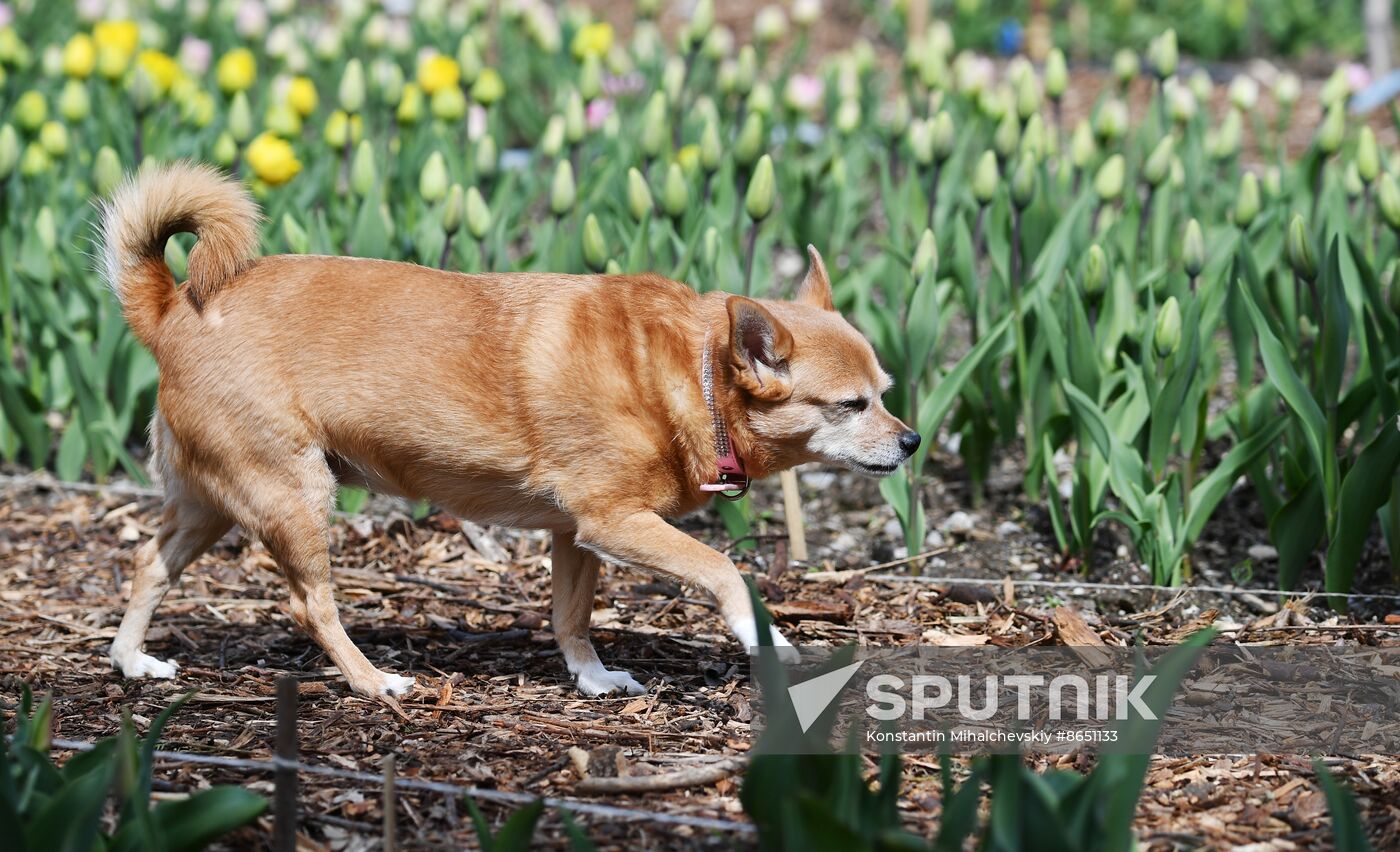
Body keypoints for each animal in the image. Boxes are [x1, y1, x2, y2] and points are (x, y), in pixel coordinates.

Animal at [98, 162, 918, 693]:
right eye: (851, 406)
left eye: (885, 394)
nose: (911, 441)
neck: (694, 374)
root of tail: (173, 306)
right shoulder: (614, 521)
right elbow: (723, 569)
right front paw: (760, 635)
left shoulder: (575, 535)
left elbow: (571, 617)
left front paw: (592, 679)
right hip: (294, 496)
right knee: (309, 604)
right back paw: (373, 681)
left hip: (211, 503)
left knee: (148, 561)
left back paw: (133, 661)